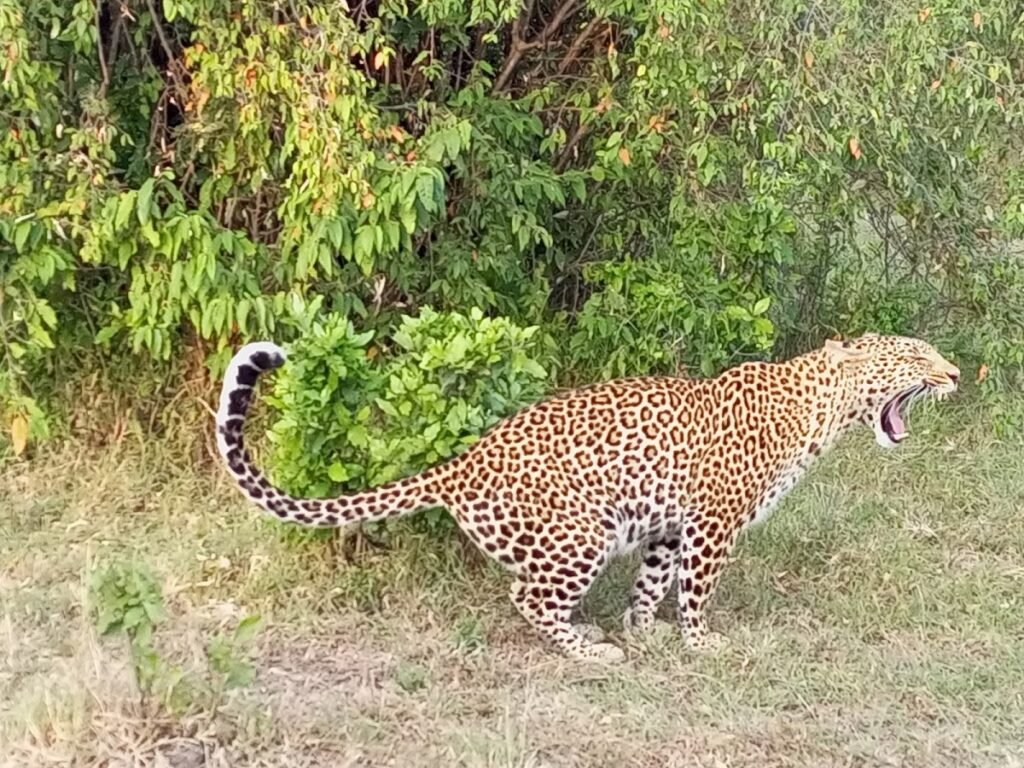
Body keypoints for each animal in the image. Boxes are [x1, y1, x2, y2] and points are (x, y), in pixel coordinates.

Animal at [215, 332, 960, 663]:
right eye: (914, 359)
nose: (955, 374)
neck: (819, 411)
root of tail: (461, 463)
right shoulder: (713, 525)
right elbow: (696, 591)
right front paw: (700, 644)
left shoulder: (670, 524)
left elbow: (653, 582)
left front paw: (642, 629)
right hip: (581, 534)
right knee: (527, 596)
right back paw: (584, 649)